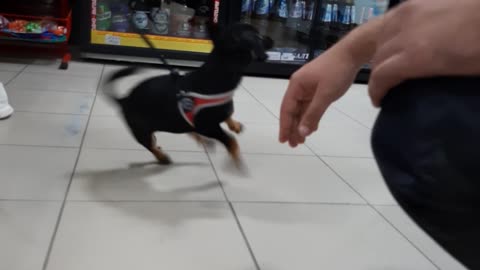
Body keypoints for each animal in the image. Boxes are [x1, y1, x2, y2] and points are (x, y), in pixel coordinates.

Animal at [103, 23, 272, 166]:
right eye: (258, 37)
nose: (271, 38)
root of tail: (123, 99)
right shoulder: (207, 127)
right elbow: (230, 140)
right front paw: (236, 159)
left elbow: (228, 115)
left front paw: (234, 125)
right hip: (141, 132)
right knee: (150, 145)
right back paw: (162, 157)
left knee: (169, 136)